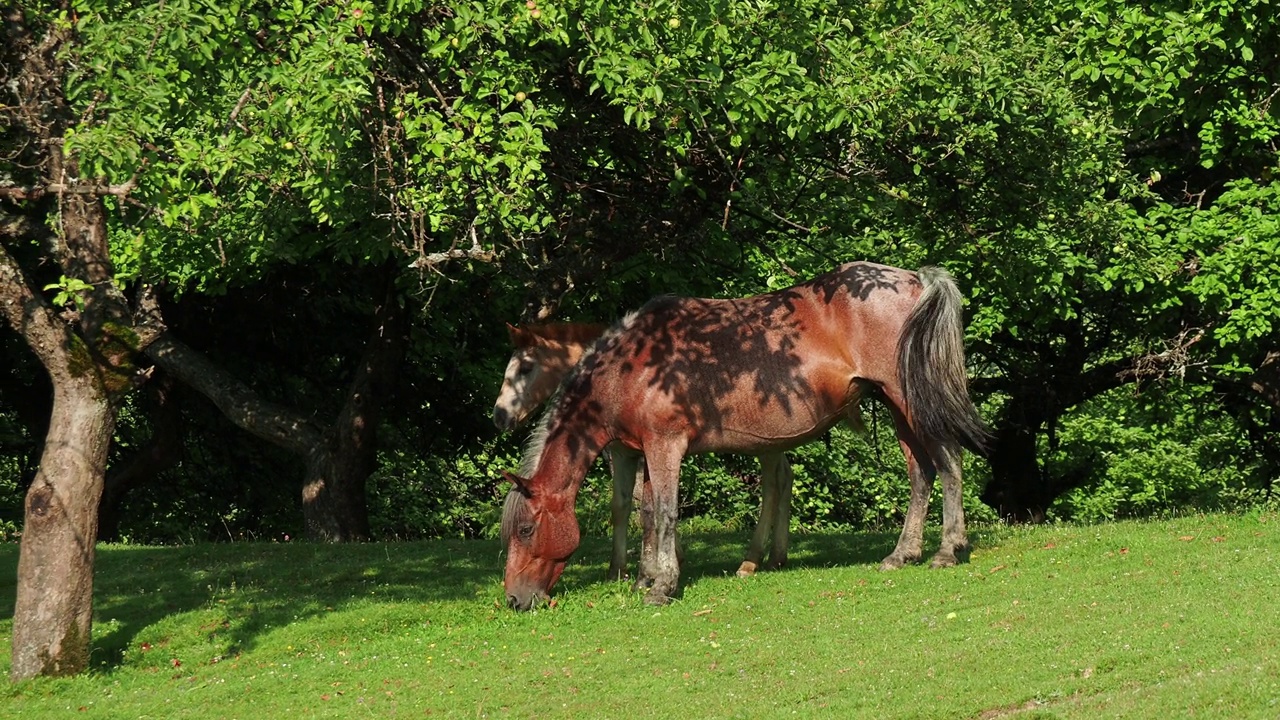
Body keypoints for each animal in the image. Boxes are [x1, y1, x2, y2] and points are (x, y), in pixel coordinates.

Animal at [494, 324, 793, 576]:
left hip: (766, 445)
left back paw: (751, 561)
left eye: (525, 368)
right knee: (784, 478)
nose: (499, 416)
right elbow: (626, 504)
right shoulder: (625, 452)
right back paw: (776, 556)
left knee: (772, 487)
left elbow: (643, 501)